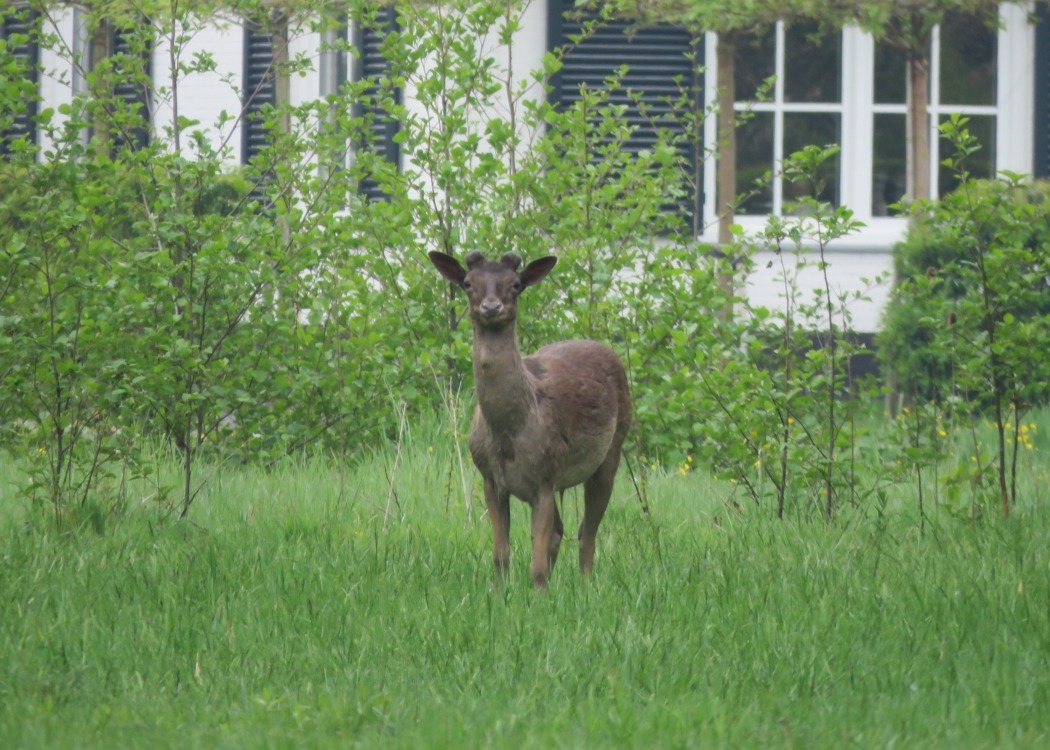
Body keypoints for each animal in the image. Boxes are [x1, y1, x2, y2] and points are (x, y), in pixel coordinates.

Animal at [426, 247, 630, 588]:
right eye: (468, 283)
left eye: (516, 284)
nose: (491, 307)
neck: (508, 434)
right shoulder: (490, 478)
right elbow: (501, 553)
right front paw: (500, 591)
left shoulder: (545, 476)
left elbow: (536, 560)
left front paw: (539, 594)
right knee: (561, 531)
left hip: (612, 448)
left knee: (587, 531)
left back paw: (586, 584)